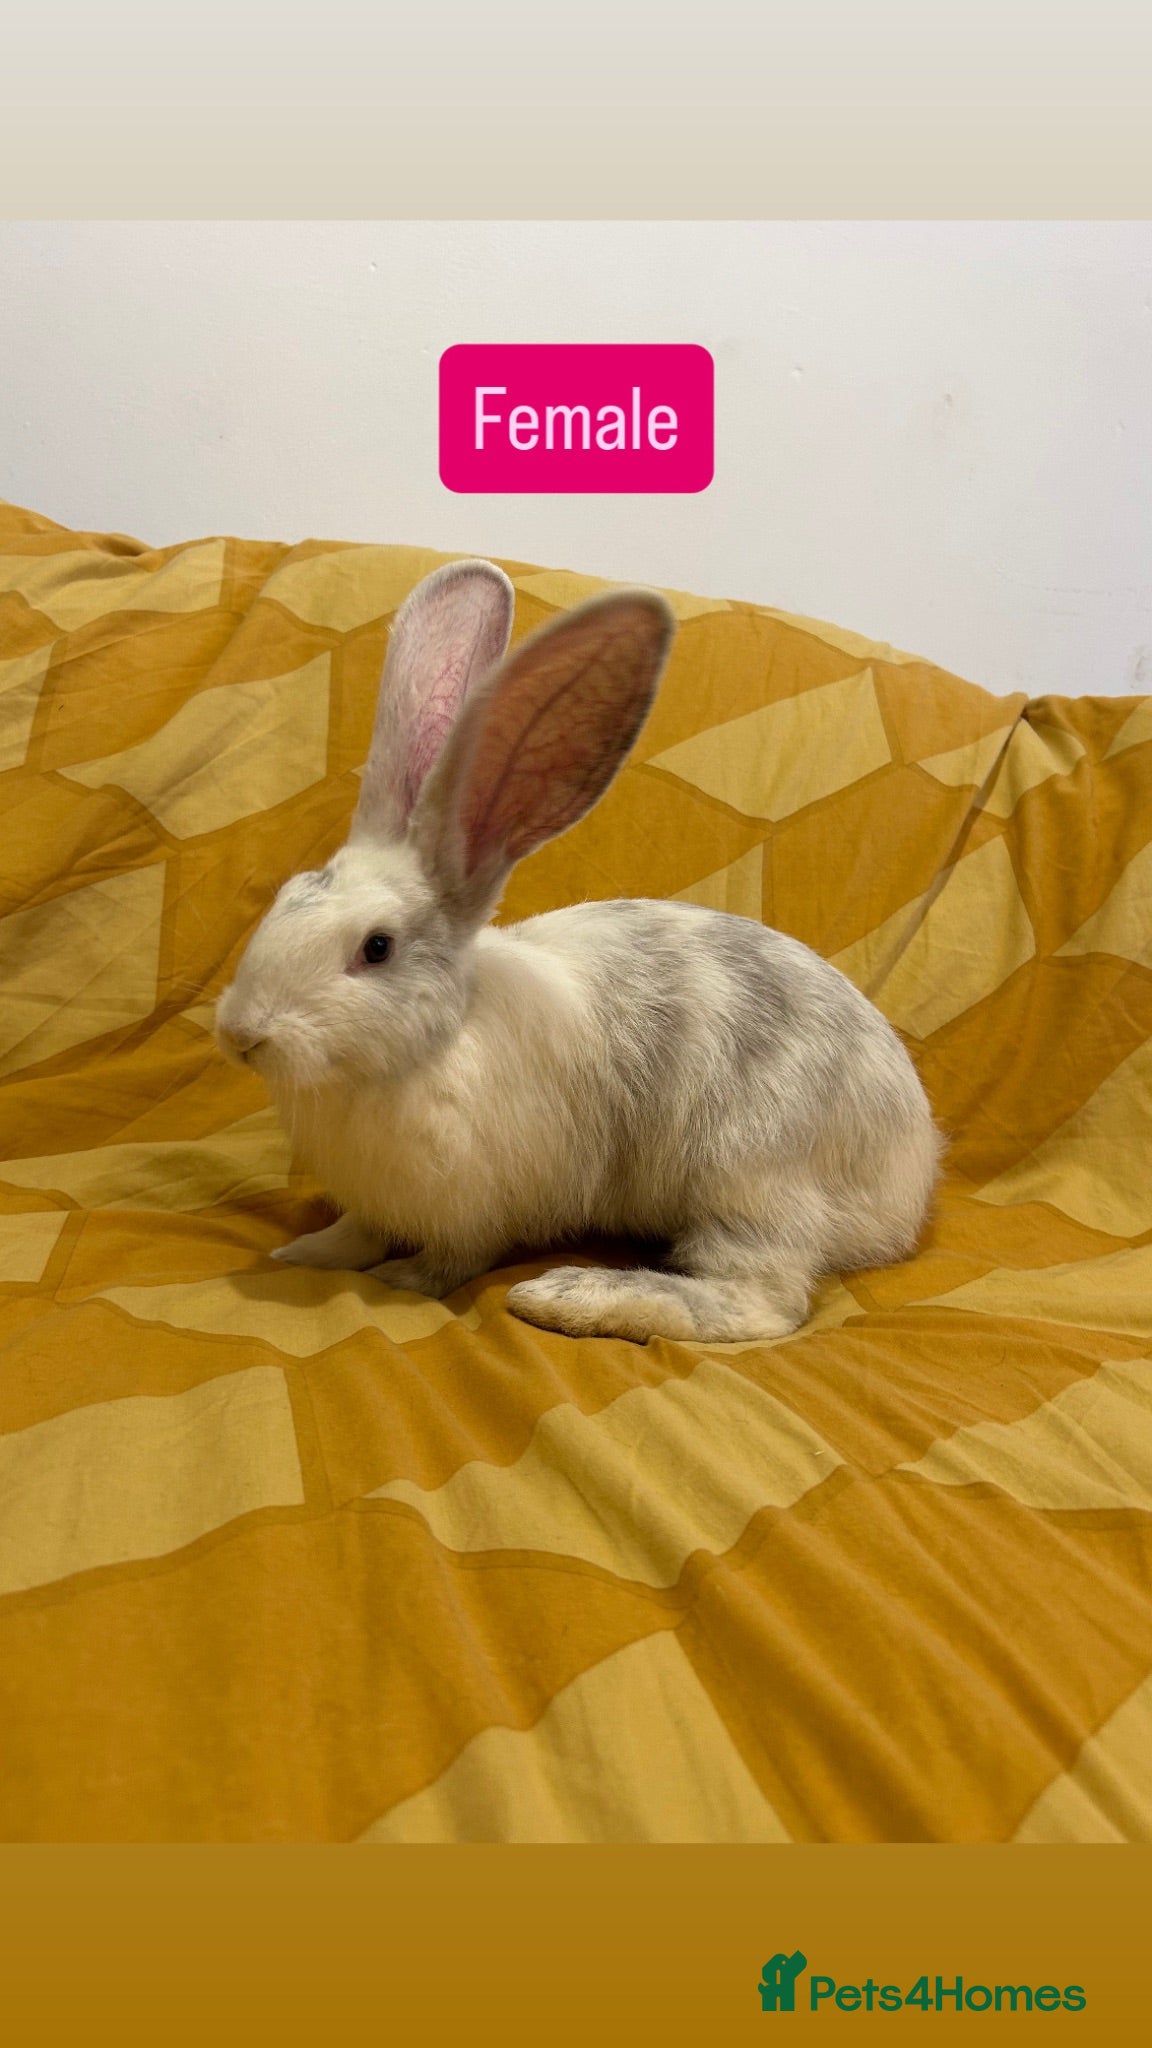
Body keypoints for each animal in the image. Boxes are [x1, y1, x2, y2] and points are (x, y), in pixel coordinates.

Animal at [215, 558, 942, 1344]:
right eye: (286, 895)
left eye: (376, 949)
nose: (241, 1035)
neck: (423, 1051)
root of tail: (910, 1180)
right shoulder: (376, 1201)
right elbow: (355, 1231)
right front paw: (304, 1252)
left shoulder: (473, 1211)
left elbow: (451, 1259)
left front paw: (404, 1280)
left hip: (751, 1177)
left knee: (760, 1302)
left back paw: (568, 1296)